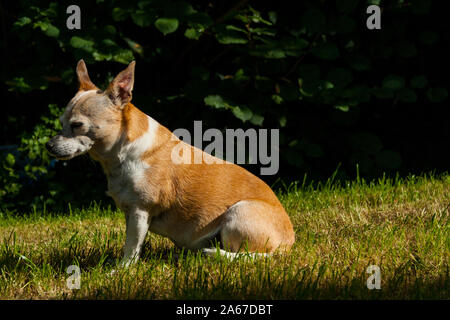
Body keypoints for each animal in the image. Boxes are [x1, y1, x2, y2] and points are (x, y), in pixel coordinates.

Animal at [46, 60, 296, 268]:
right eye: (61, 123)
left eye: (77, 125)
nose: (48, 145)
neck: (118, 157)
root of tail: (287, 244)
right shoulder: (132, 214)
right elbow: (133, 243)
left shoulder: (140, 211)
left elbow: (131, 247)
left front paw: (121, 270)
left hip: (239, 212)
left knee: (246, 254)